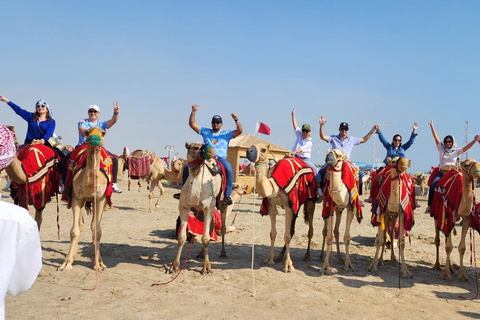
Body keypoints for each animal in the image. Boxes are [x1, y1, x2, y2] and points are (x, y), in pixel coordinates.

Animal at [58, 126, 110, 272]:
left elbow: (98, 230)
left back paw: (93, 252)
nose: (94, 138)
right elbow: (74, 231)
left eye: (103, 132)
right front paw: (66, 263)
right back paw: (75, 253)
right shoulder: (76, 198)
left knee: (92, 225)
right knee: (80, 225)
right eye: (87, 132)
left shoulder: (100, 199)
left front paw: (100, 263)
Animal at [171, 142, 232, 276]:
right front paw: (174, 266)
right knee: (211, 226)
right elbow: (181, 237)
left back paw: (223, 253)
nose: (210, 151)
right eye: (195, 147)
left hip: (221, 203)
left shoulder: (208, 206)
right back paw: (200, 254)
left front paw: (207, 268)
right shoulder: (183, 207)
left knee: (223, 227)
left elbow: (205, 238)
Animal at [248, 144, 316, 272]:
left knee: (310, 229)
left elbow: (287, 236)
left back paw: (307, 256)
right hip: (296, 206)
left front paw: (288, 266)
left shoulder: (289, 206)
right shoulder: (271, 205)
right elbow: (273, 233)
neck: (274, 185)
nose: (249, 151)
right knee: (293, 229)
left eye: (264, 149)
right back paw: (279, 256)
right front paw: (269, 258)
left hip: (310, 201)